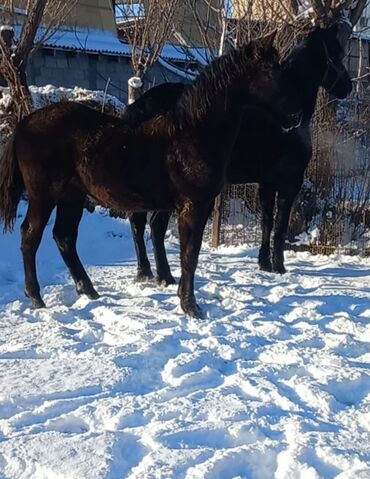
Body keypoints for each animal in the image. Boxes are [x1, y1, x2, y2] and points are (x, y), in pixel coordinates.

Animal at [0, 32, 278, 318]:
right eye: (270, 70)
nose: (291, 114)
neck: (192, 134)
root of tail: (23, 125)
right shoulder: (194, 205)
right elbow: (190, 255)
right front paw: (190, 306)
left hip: (72, 197)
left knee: (64, 237)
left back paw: (88, 291)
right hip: (43, 197)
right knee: (30, 237)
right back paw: (36, 297)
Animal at [125, 23, 352, 284]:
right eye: (336, 55)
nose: (348, 86)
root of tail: (140, 106)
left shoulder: (266, 184)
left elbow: (266, 222)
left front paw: (264, 263)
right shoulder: (290, 183)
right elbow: (281, 225)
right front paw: (279, 266)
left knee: (138, 223)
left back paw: (144, 272)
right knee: (155, 226)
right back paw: (165, 276)